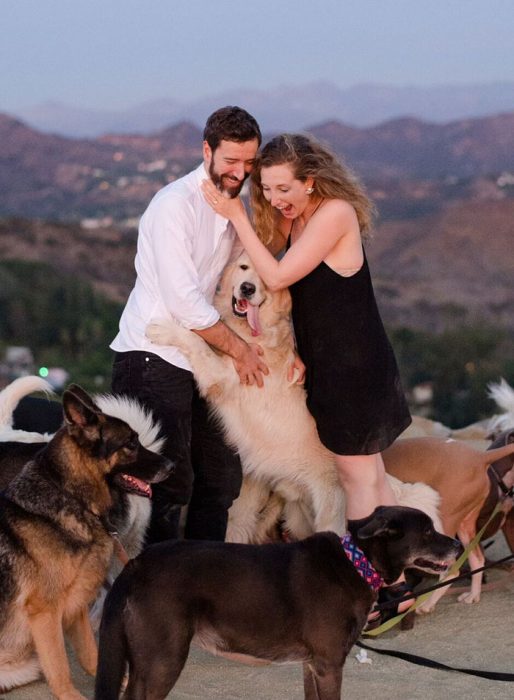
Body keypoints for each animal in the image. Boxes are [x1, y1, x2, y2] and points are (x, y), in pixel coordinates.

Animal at [94, 506, 458, 700]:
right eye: (427, 532)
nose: (457, 545)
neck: (358, 562)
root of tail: (137, 564)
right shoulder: (329, 665)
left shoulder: (312, 665)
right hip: (163, 661)